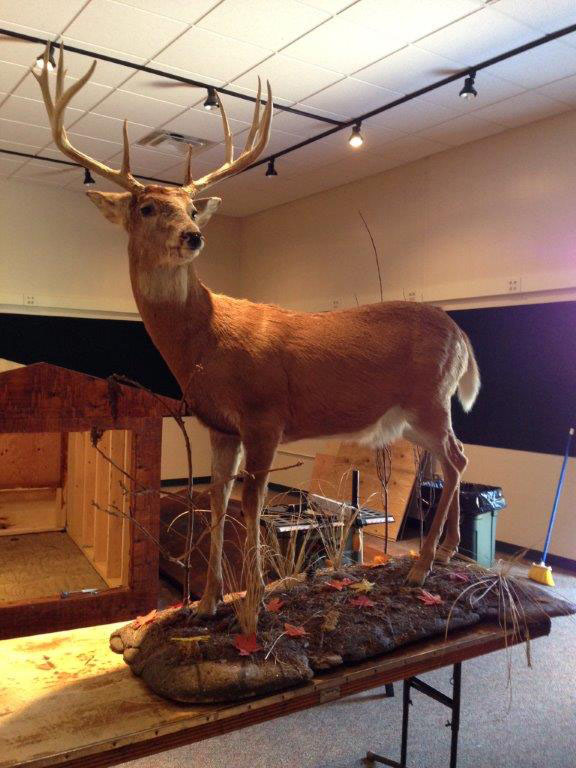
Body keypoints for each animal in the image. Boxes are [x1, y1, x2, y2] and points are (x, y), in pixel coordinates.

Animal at [35, 45, 480, 617]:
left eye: (193, 206)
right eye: (147, 206)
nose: (193, 235)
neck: (205, 342)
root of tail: (462, 336)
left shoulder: (266, 415)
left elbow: (253, 503)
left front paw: (254, 603)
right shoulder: (219, 424)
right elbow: (218, 498)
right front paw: (207, 604)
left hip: (429, 397)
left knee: (456, 457)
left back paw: (422, 566)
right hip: (415, 413)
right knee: (452, 460)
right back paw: (444, 554)